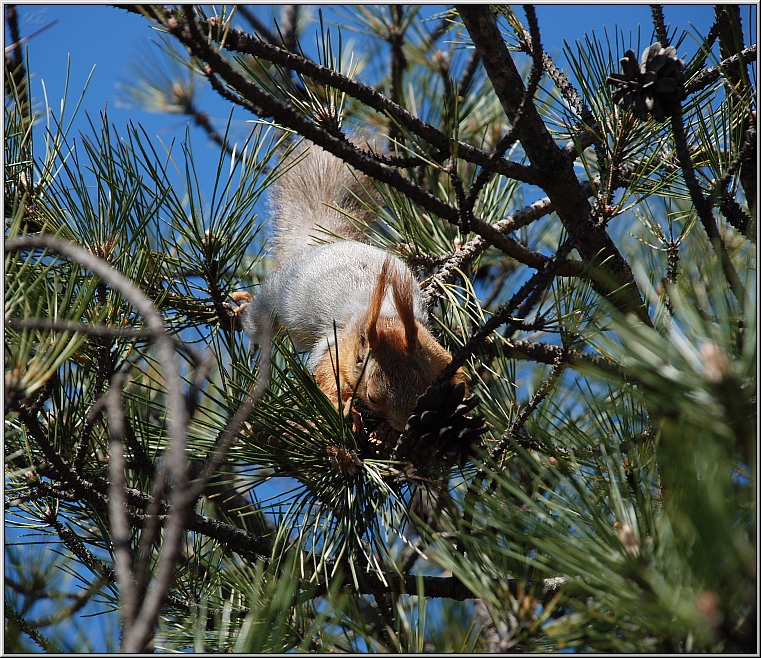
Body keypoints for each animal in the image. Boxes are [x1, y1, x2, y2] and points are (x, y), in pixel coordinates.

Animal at [240, 138, 466, 430]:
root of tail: (326, 245)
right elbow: (326, 374)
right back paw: (241, 306)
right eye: (372, 397)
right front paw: (343, 407)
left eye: (423, 388)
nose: (402, 426)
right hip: (274, 296)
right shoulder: (336, 346)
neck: (386, 318)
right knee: (256, 321)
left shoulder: (436, 353)